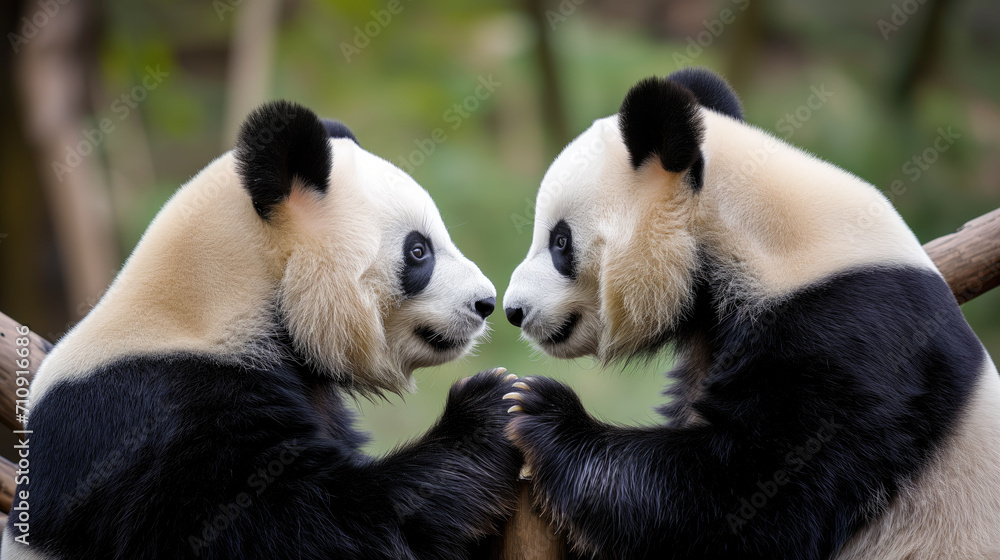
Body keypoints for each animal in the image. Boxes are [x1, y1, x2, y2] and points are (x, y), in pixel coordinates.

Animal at [2, 100, 523, 560]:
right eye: (419, 251)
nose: (485, 303)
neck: (218, 298)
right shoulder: (158, 419)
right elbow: (299, 524)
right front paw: (490, 407)